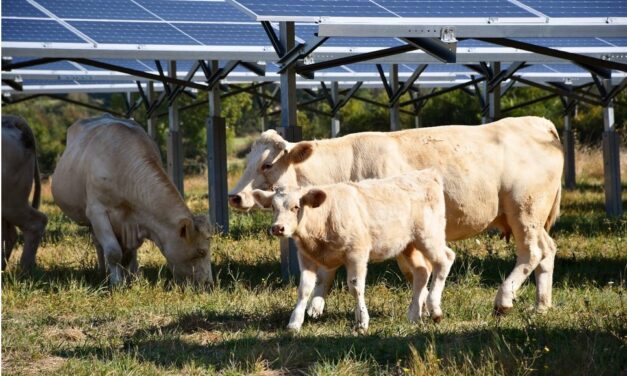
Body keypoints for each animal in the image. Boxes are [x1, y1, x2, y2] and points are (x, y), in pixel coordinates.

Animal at [52, 114, 213, 284]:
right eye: (201, 251)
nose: (209, 285)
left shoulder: (135, 222)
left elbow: (129, 252)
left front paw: (133, 278)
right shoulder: (97, 212)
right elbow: (113, 251)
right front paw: (117, 283)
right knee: (98, 244)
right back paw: (103, 272)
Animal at [229, 115, 564, 314]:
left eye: (267, 165)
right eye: (248, 161)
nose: (235, 196)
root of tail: (538, 123)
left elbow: (416, 271)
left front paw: (423, 308)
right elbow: (325, 272)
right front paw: (315, 305)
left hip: (523, 211)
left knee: (531, 252)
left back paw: (504, 299)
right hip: (531, 218)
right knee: (547, 250)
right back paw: (541, 305)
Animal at [253, 170, 454, 332]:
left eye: (296, 206)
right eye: (273, 207)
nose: (278, 228)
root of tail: (427, 174)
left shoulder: (357, 253)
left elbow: (356, 287)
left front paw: (362, 322)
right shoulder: (306, 257)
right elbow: (305, 289)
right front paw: (295, 322)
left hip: (429, 236)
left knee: (445, 259)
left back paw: (435, 308)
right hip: (408, 245)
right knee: (421, 272)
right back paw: (413, 315)